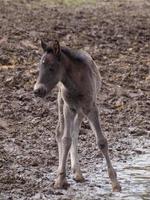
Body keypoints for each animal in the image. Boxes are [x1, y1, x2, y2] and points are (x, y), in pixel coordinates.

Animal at [33, 39, 121, 191]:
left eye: (51, 68)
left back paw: (77, 173)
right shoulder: (68, 108)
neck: (75, 83)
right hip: (61, 103)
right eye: (39, 67)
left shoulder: (91, 108)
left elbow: (101, 141)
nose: (37, 90)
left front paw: (115, 183)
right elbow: (65, 139)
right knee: (60, 132)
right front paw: (60, 179)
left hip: (80, 111)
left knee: (75, 132)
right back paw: (67, 174)